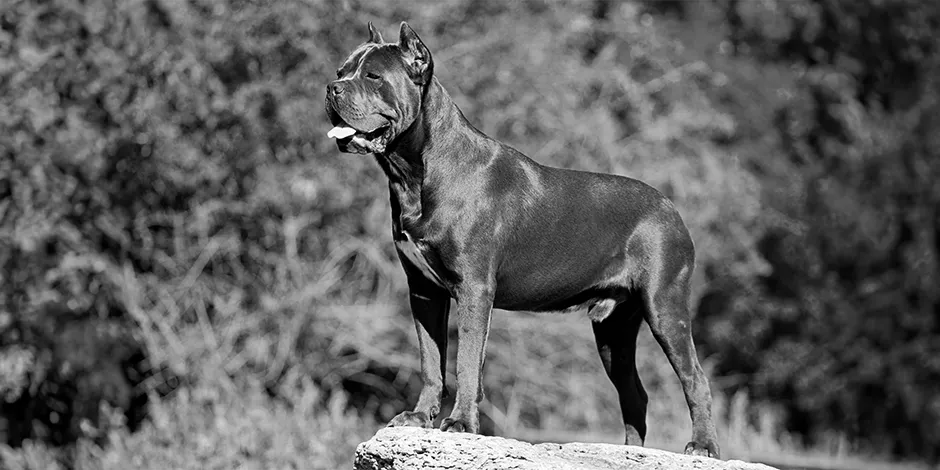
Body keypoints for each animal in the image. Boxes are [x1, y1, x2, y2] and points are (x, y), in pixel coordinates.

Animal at [324, 20, 720, 458]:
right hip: (613, 329)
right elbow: (431, 360)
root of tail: (671, 208)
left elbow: (465, 361)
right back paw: (632, 453)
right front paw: (419, 417)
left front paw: (460, 424)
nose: (331, 88)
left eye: (373, 76)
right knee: (635, 394)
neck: (412, 173)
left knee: (695, 379)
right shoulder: (424, 291)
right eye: (343, 70)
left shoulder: (474, 289)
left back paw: (702, 446)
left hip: (665, 306)